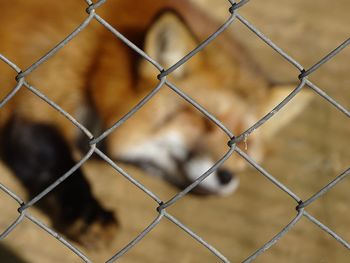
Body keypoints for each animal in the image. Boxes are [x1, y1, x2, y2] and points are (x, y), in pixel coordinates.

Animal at [0, 0, 310, 248]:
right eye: (201, 119)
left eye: (247, 142)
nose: (226, 177)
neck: (100, 55)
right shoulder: (45, 90)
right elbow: (55, 160)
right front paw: (88, 213)